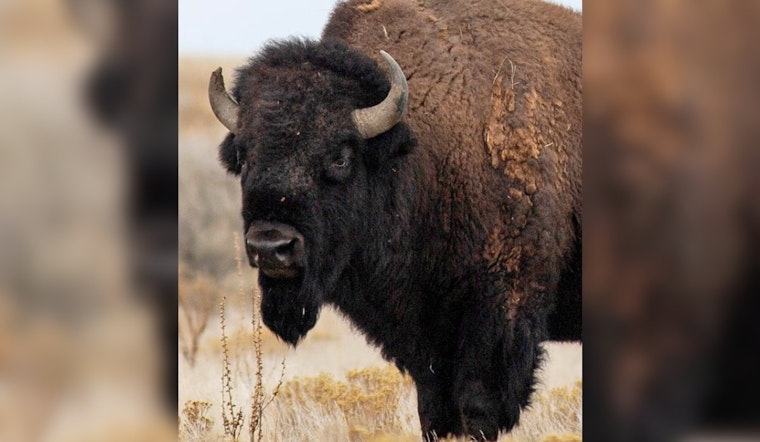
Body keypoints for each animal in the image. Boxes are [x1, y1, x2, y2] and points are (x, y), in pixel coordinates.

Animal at [209, 0, 581, 439]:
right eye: (244, 155)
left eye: (340, 156)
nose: (271, 245)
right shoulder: (425, 339)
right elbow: (434, 410)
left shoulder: (499, 313)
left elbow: (478, 405)